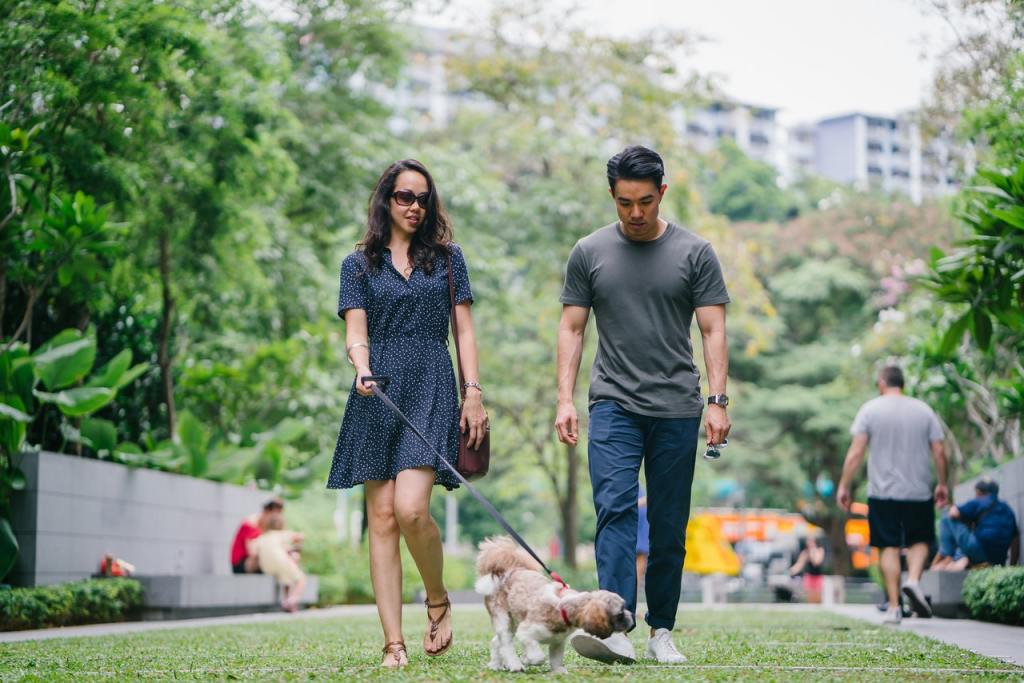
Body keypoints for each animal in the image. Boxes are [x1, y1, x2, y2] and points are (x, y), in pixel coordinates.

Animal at [475, 540, 634, 671]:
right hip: (503, 619)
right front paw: (526, 659)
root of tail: (508, 571)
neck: (563, 607)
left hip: (513, 622)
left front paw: (559, 672)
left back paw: (495, 665)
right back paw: (515, 665)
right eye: (620, 613)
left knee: (497, 642)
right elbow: (538, 657)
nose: (631, 618)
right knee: (506, 644)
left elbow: (556, 659)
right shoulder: (526, 632)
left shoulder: (558, 642)